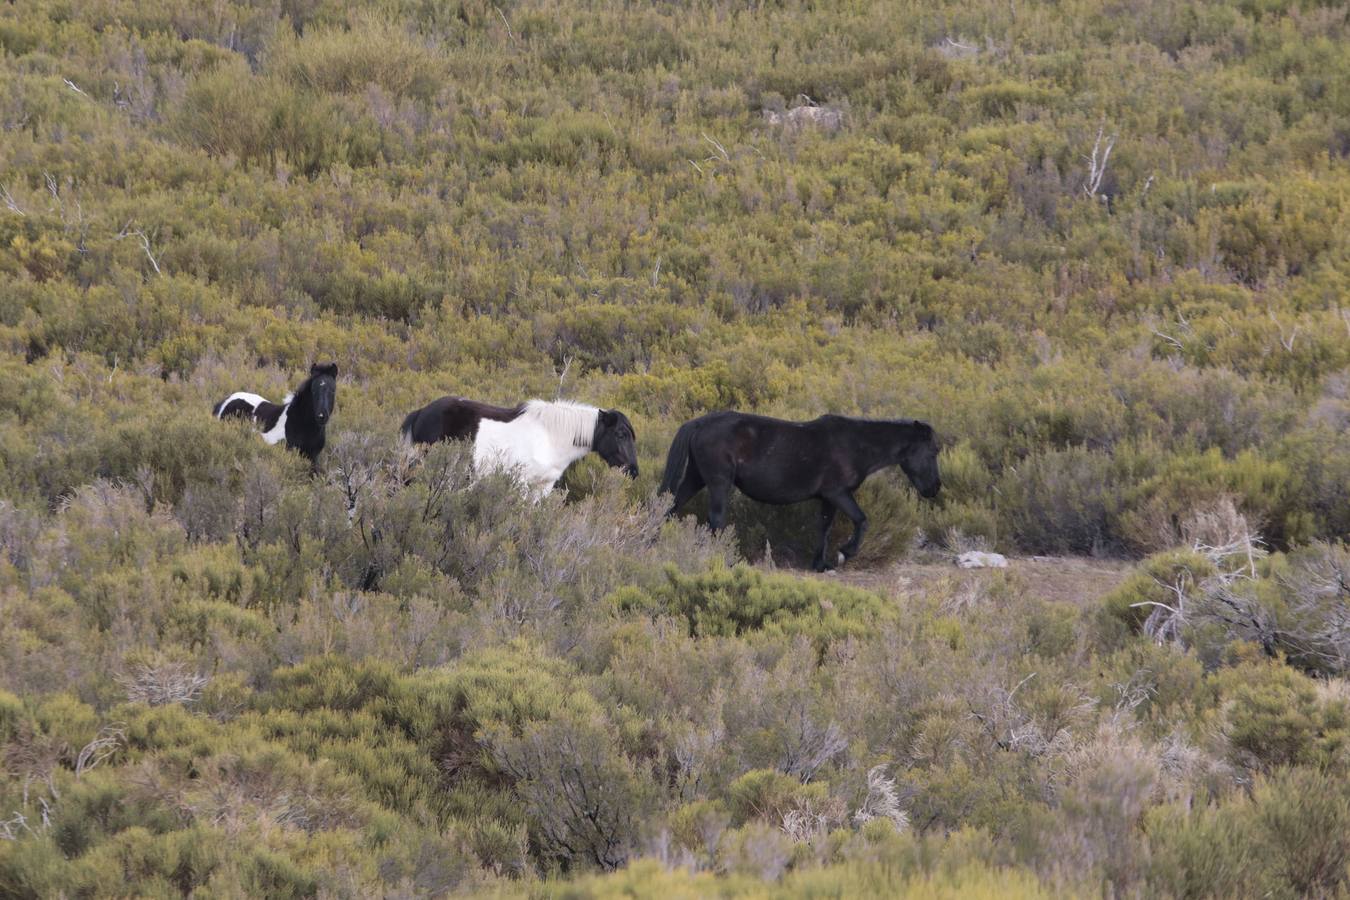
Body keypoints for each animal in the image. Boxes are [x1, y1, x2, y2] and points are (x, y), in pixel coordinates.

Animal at [400, 396, 639, 497]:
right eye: (620, 434)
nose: (633, 471)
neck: (550, 438)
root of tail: (421, 412)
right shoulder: (523, 483)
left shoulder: (543, 487)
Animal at [658, 411, 941, 571]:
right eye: (934, 451)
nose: (934, 488)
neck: (856, 445)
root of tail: (700, 423)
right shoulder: (838, 493)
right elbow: (862, 520)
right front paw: (845, 553)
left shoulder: (828, 499)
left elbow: (824, 527)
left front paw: (821, 564)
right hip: (719, 483)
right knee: (715, 521)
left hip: (695, 478)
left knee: (669, 507)